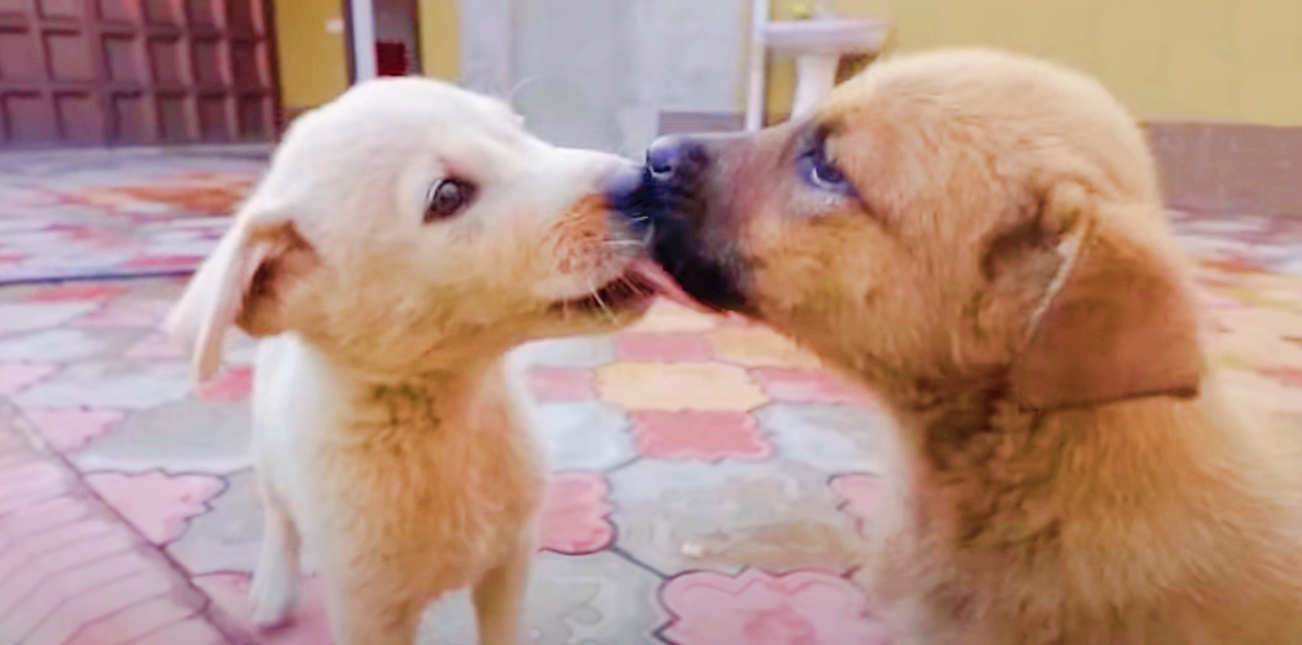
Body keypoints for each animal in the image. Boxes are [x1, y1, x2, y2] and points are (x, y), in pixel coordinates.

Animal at [170, 79, 661, 645]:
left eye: (518, 131)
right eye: (447, 196)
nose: (645, 181)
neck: (442, 416)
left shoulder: (510, 560)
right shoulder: (368, 608)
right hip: (268, 446)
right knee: (278, 513)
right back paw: (273, 588)